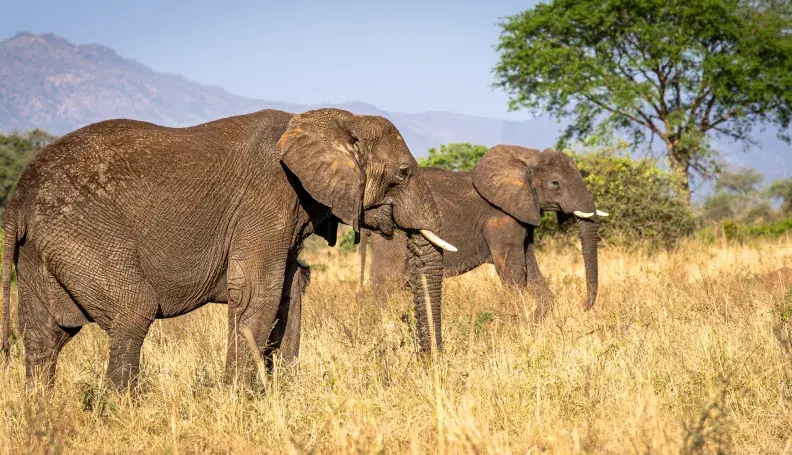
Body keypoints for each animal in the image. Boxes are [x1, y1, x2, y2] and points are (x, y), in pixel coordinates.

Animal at [0, 108, 456, 391]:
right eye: (403, 173)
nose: (430, 367)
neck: (331, 119)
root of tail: (19, 196)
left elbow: (291, 285)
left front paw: (278, 389)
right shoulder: (267, 201)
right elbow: (258, 293)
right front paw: (242, 397)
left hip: (42, 249)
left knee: (44, 336)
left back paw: (41, 414)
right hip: (82, 233)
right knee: (132, 310)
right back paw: (118, 411)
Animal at [358, 145, 606, 315]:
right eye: (555, 184)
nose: (583, 306)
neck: (526, 157)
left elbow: (532, 274)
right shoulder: (501, 219)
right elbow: (514, 276)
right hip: (393, 233)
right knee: (387, 281)